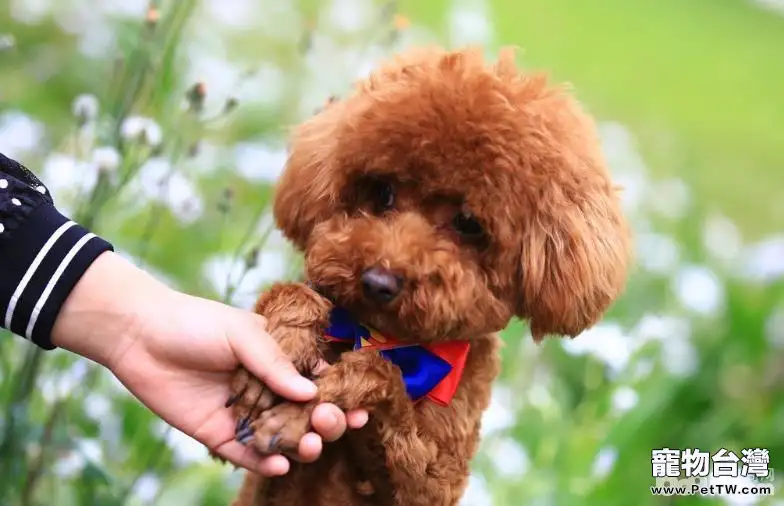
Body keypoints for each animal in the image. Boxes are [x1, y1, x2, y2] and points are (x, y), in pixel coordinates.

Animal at [224, 46, 628, 506]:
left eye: (468, 223)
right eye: (382, 192)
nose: (377, 282)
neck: (385, 336)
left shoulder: (433, 483)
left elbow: (379, 374)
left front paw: (296, 413)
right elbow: (297, 295)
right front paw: (277, 351)